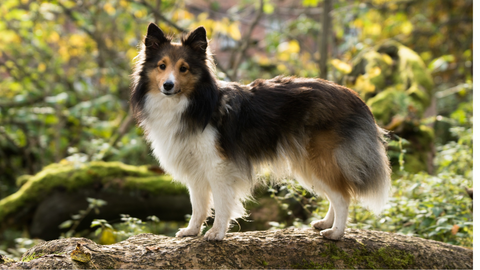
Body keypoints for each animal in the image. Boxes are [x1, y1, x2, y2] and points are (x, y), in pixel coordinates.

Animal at [130, 23, 390, 240]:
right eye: (162, 66)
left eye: (183, 68)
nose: (168, 85)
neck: (193, 103)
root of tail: (353, 96)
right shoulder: (195, 169)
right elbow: (199, 205)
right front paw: (192, 231)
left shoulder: (218, 166)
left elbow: (221, 204)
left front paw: (216, 233)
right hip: (309, 164)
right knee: (336, 194)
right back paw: (326, 224)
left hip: (319, 159)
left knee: (343, 196)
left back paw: (335, 233)